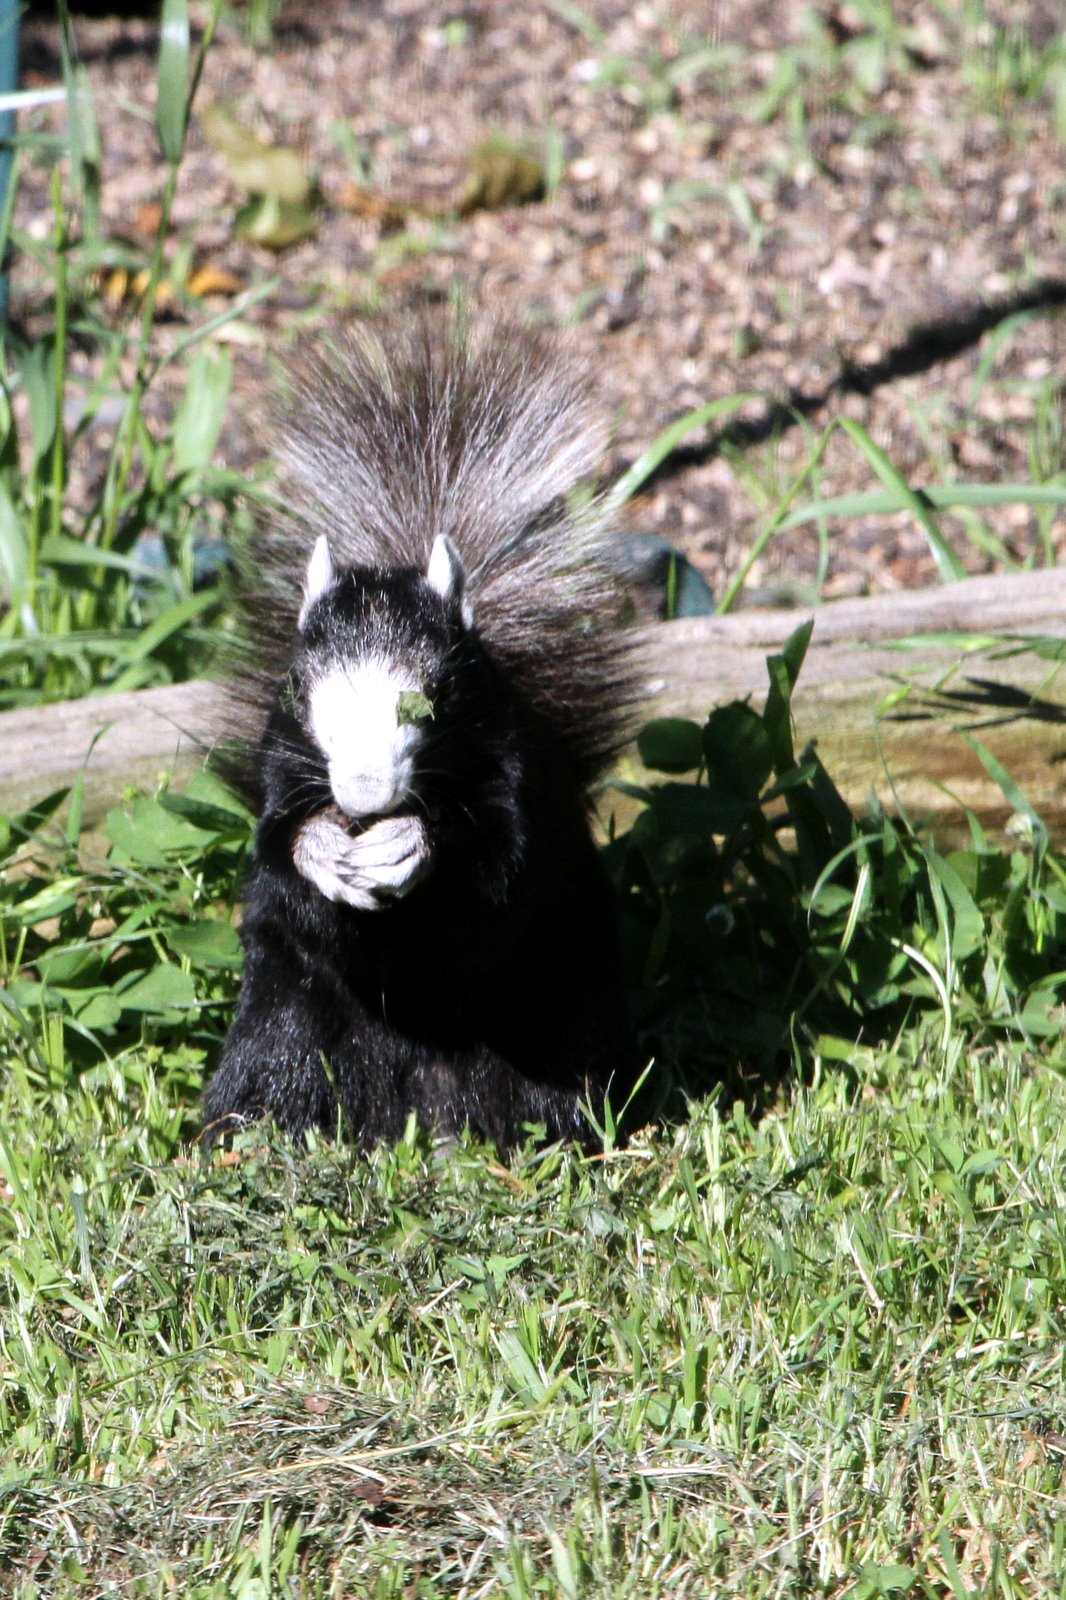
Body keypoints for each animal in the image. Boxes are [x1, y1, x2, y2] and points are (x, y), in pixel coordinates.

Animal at [203, 318, 645, 1152]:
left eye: (438, 692)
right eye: (300, 687)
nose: (365, 796)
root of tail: (421, 1112)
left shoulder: (515, 773)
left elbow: (499, 877)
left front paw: (410, 845)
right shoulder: (284, 764)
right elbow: (278, 861)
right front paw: (325, 850)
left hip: (559, 1021)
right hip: (284, 1022)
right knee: (276, 1068)